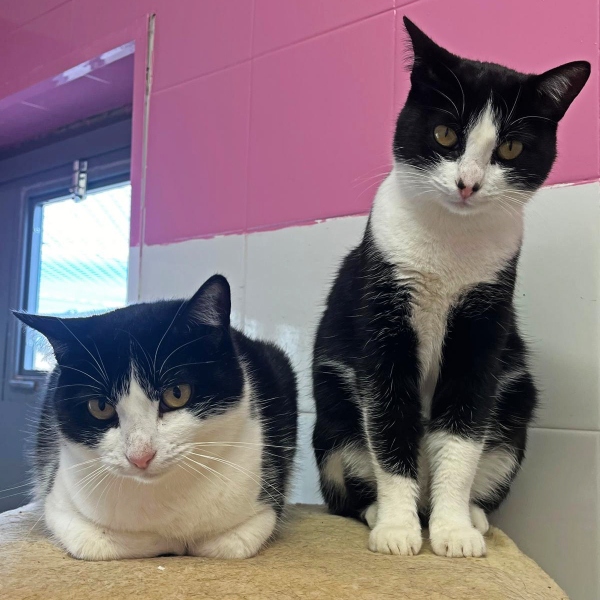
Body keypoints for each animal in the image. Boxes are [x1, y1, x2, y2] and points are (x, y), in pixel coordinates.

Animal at [14, 274, 297, 560]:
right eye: (100, 406)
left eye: (177, 393)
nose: (140, 456)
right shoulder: (59, 503)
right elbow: (101, 542)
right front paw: (166, 541)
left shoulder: (258, 510)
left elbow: (229, 543)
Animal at [312, 17, 590, 558]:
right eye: (445, 134)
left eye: (509, 148)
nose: (468, 183)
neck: (449, 247)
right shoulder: (384, 314)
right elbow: (389, 419)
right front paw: (398, 529)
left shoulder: (484, 318)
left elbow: (463, 429)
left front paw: (454, 531)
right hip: (331, 415)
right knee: (346, 477)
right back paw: (379, 510)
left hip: (517, 401)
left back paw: (472, 515)